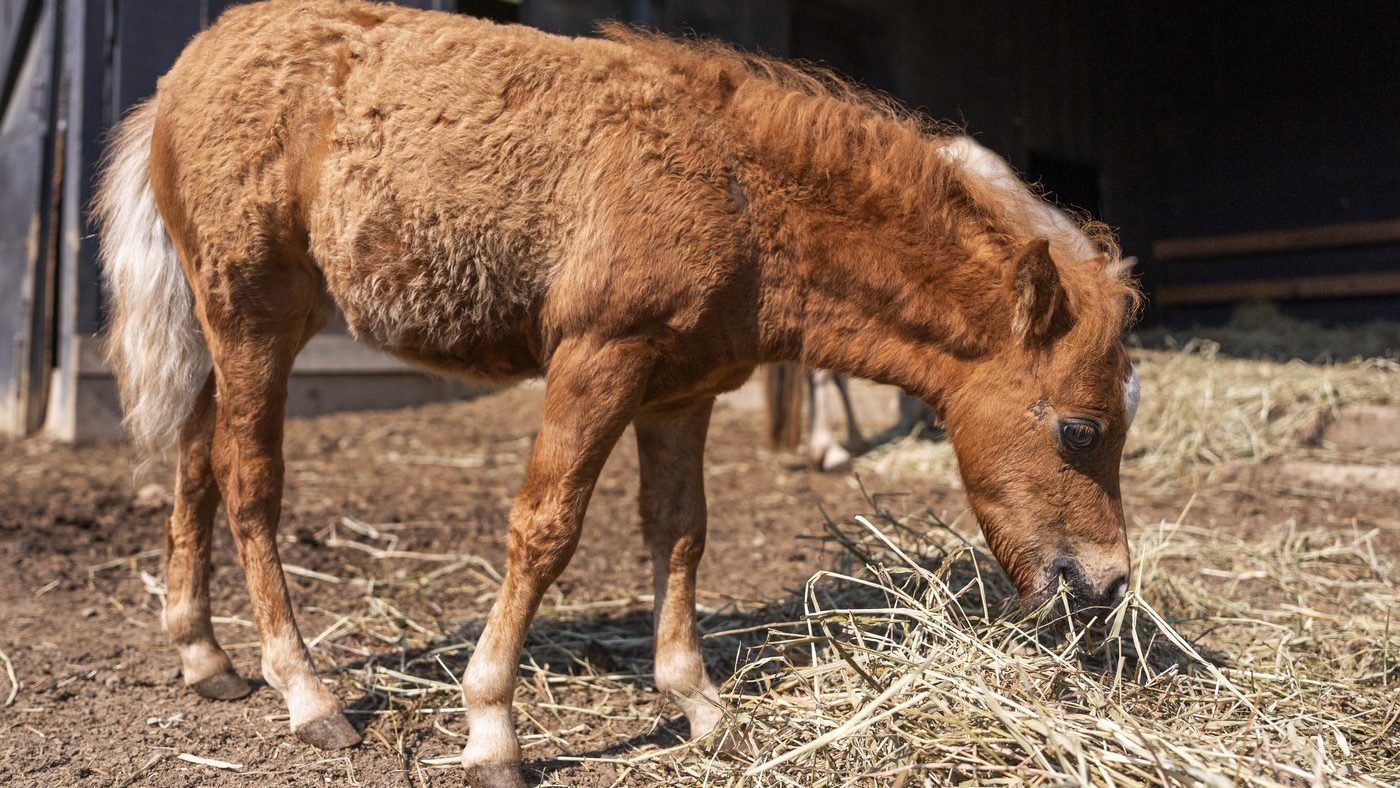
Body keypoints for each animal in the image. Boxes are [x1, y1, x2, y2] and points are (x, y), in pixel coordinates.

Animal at [98, 3, 1142, 783]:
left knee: (195, 461)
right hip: (253, 315)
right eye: (1081, 430)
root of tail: (182, 73)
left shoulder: (680, 394)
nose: (1105, 584)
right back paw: (306, 693)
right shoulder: (599, 358)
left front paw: (700, 705)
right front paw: (491, 729)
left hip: (237, 324)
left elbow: (678, 534)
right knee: (249, 482)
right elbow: (545, 528)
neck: (739, 193)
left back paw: (205, 658)